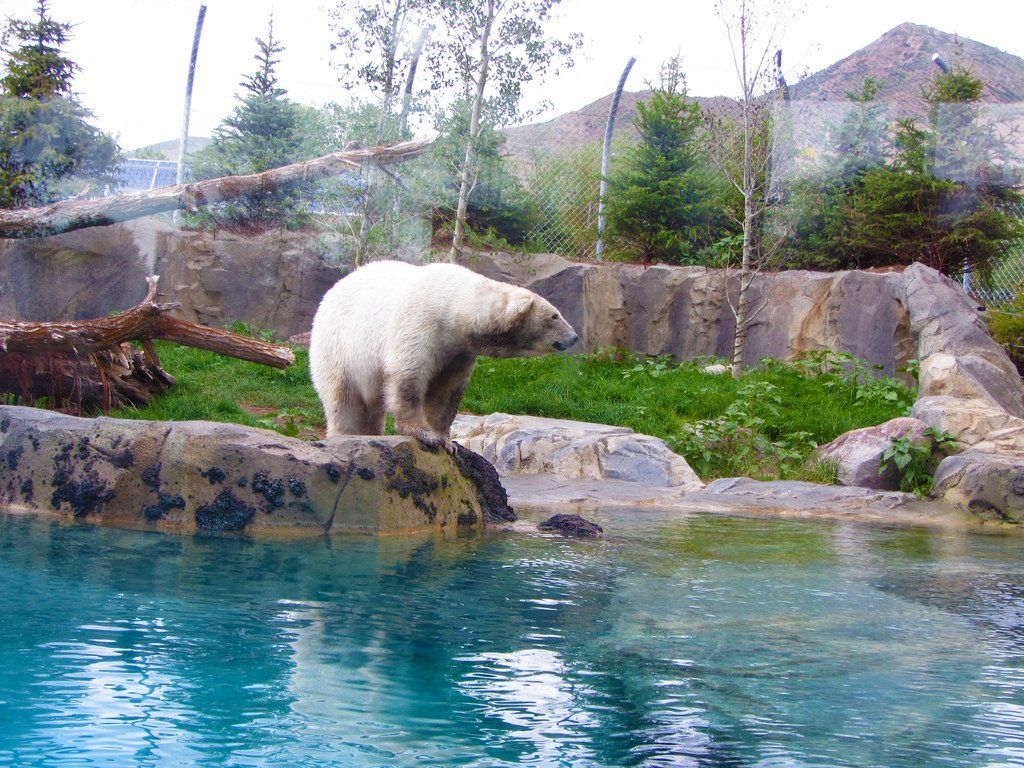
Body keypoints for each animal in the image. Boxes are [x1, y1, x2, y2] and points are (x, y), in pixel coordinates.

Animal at [309, 260, 578, 448]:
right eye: (554, 315)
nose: (574, 337)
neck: (452, 305)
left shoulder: (458, 349)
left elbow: (447, 391)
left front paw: (447, 442)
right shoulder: (419, 324)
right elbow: (407, 378)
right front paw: (425, 435)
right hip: (337, 348)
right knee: (342, 399)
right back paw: (346, 435)